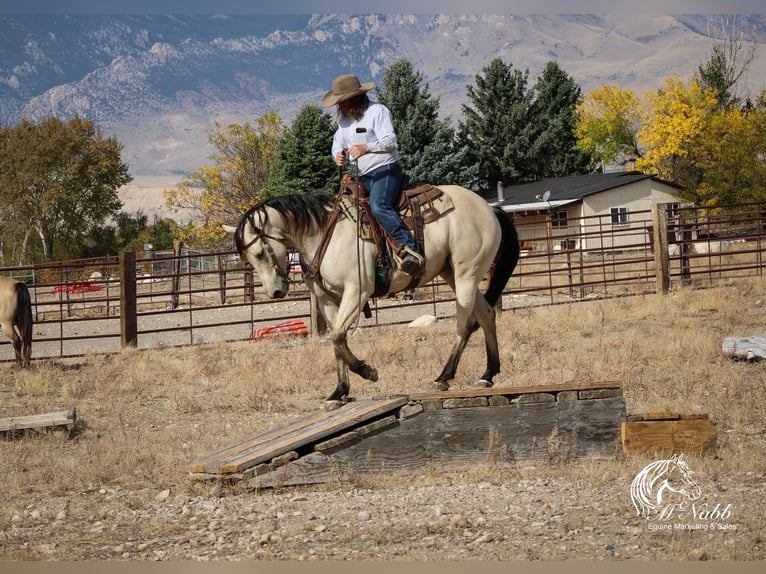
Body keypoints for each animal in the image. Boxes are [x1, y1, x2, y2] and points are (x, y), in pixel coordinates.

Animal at [225, 182, 520, 408]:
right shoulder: (327, 299)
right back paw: (488, 374)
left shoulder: (357, 292)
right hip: (451, 273)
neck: (323, 234)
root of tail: (489, 208)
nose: (275, 291)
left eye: (260, 253)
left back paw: (444, 376)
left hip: (465, 274)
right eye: (248, 258)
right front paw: (339, 392)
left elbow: (338, 336)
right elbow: (337, 342)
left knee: (465, 323)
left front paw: (368, 372)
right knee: (486, 314)